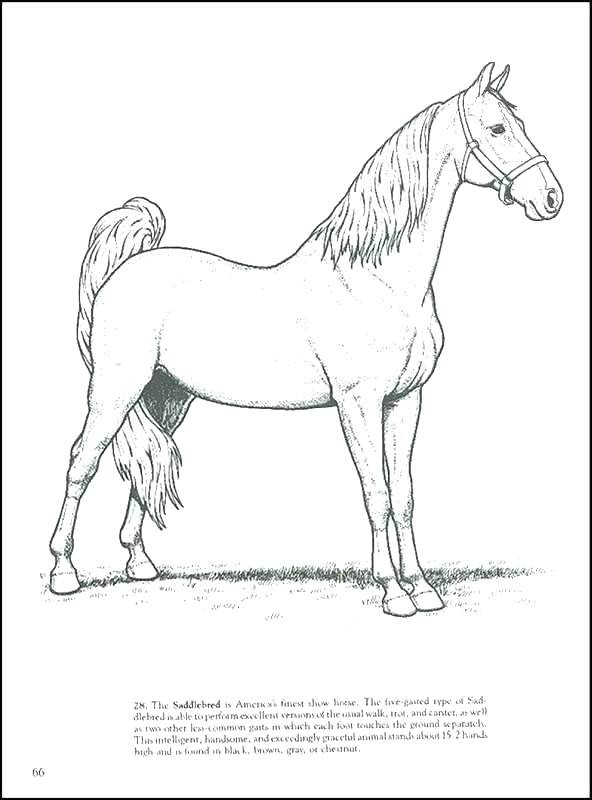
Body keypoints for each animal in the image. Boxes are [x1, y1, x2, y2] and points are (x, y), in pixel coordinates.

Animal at [49, 63, 563, 615]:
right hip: (115, 390)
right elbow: (377, 494)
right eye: (497, 128)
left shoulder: (406, 400)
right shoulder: (359, 403)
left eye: (518, 123)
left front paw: (423, 588)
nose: (551, 197)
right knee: (82, 462)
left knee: (146, 461)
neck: (378, 279)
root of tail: (124, 268)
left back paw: (140, 564)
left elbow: (403, 495)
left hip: (167, 396)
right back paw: (63, 572)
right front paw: (393, 592)